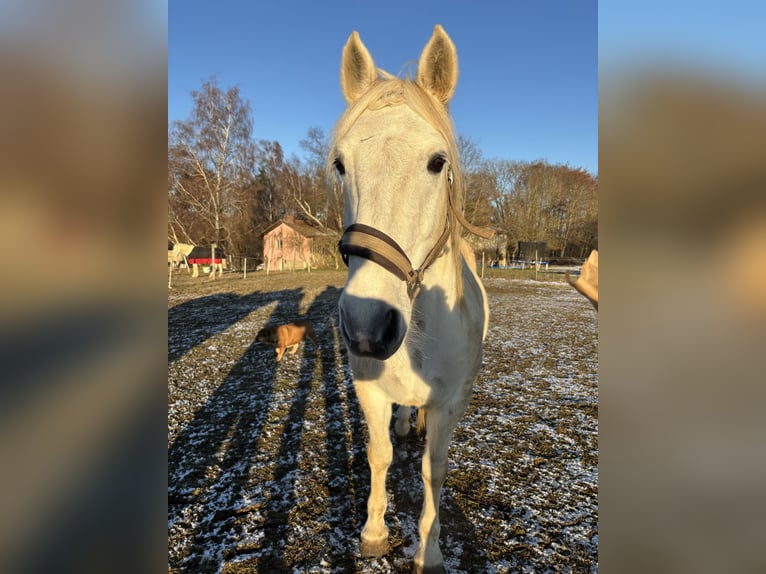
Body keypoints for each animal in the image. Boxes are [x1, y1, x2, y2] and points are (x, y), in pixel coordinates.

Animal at [328, 25, 494, 573]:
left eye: (437, 162)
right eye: (340, 165)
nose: (368, 326)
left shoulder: (452, 402)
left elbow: (432, 470)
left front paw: (430, 551)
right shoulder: (369, 388)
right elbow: (378, 454)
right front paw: (375, 531)